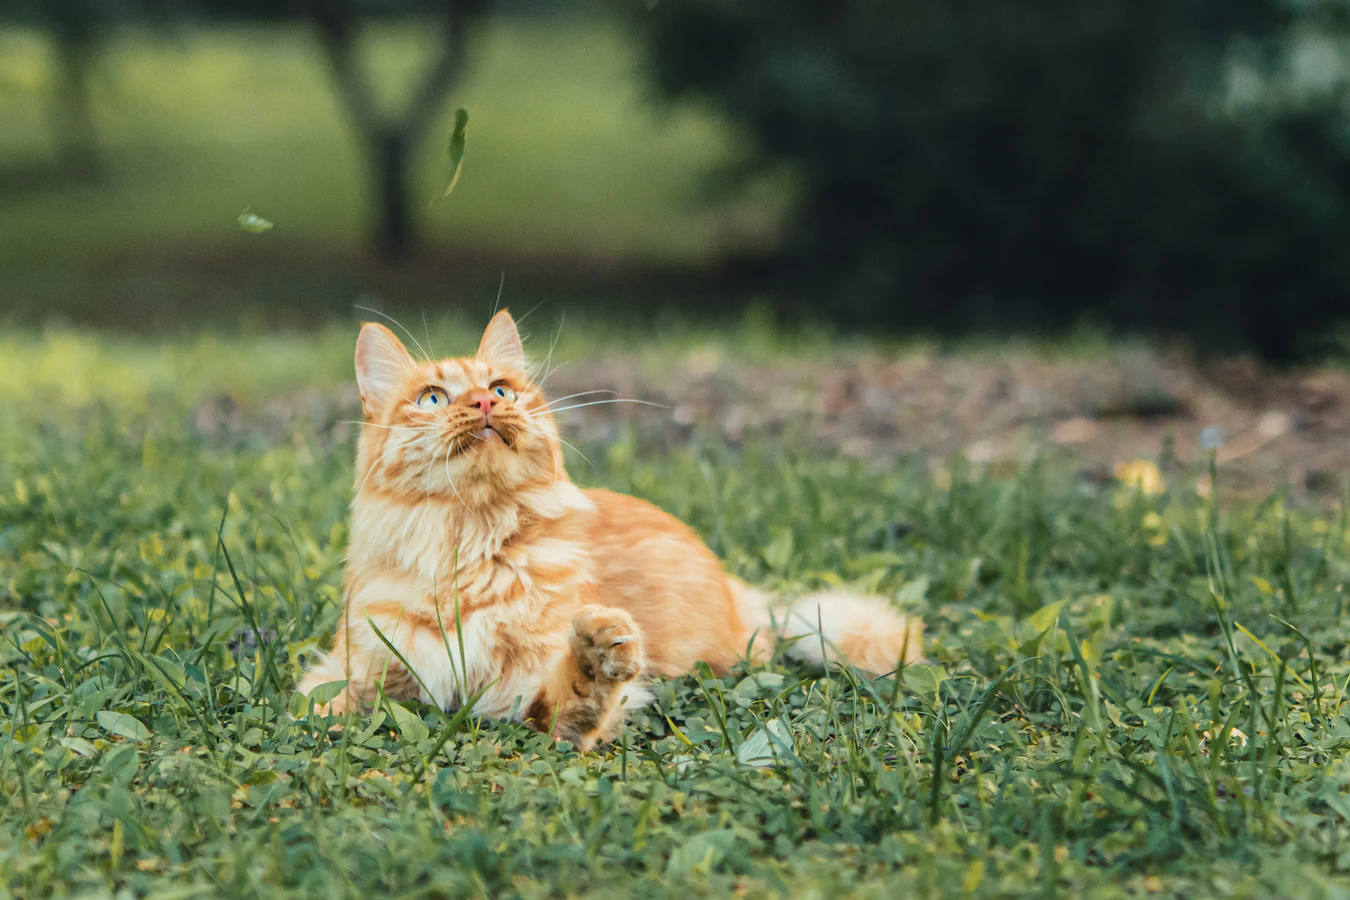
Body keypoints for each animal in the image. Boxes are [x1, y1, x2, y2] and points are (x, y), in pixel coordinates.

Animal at [297, 313, 923, 750]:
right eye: (433, 398)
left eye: (500, 390)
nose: (483, 404)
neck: (469, 542)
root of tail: (738, 588)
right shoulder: (357, 670)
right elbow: (320, 705)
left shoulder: (517, 691)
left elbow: (570, 706)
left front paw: (597, 658)